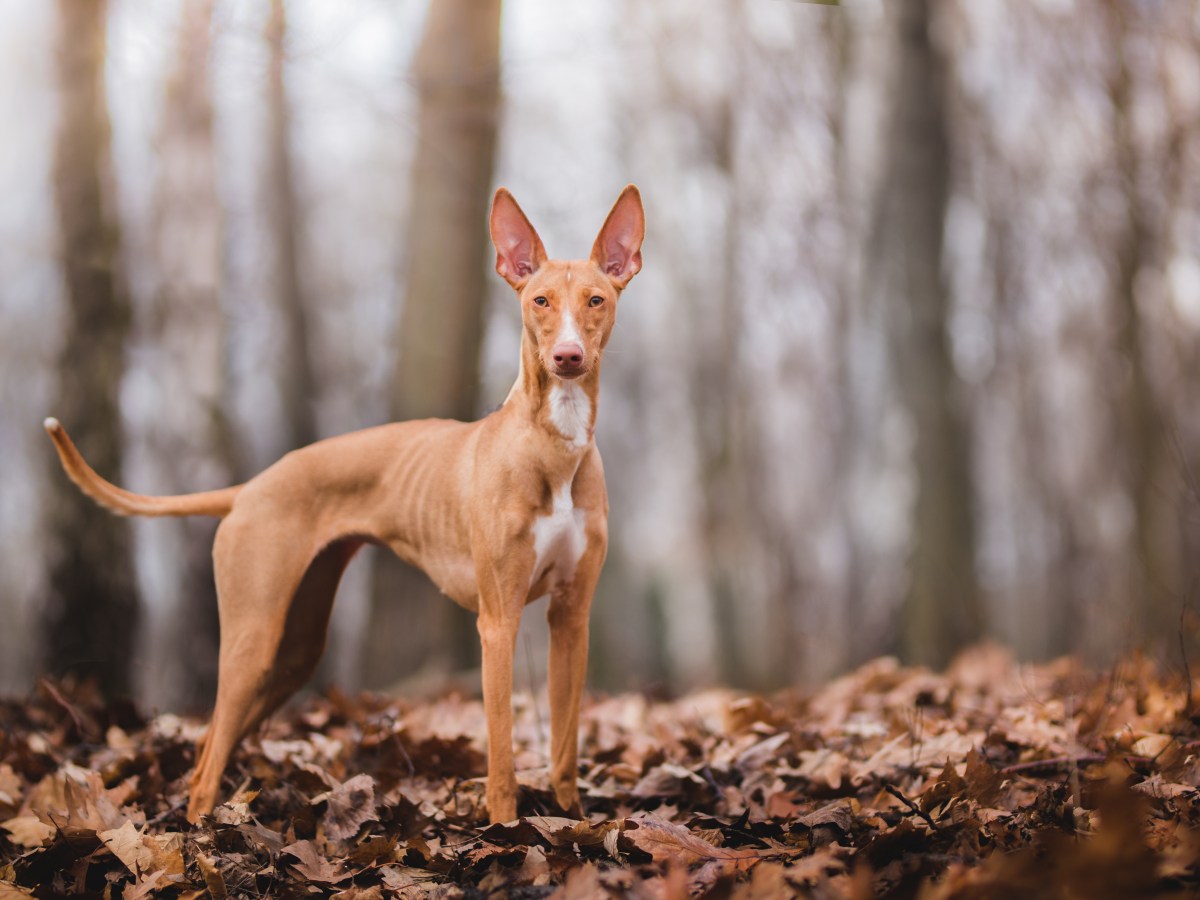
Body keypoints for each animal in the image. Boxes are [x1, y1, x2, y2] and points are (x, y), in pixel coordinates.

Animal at [42, 187, 648, 830]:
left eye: (596, 300)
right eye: (539, 301)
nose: (568, 357)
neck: (552, 445)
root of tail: (251, 486)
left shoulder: (571, 617)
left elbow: (565, 749)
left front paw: (570, 822)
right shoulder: (497, 622)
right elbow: (503, 755)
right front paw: (507, 831)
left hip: (295, 651)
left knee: (209, 749)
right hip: (253, 640)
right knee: (206, 766)